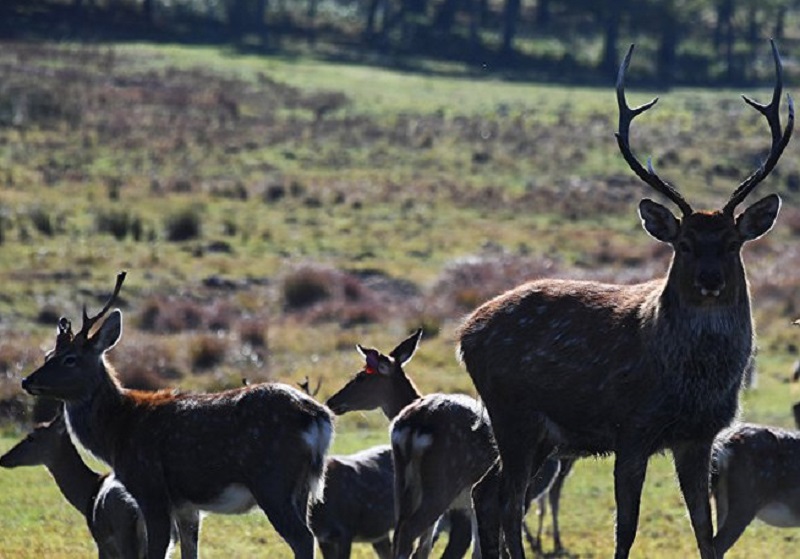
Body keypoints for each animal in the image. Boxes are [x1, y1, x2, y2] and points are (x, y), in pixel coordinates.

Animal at [21, 272, 334, 559]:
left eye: (70, 359)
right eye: (48, 355)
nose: (26, 381)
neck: (116, 434)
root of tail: (317, 417)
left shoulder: (151, 489)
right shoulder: (187, 507)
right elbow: (190, 551)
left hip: (271, 478)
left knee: (303, 538)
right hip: (303, 487)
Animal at [324, 330, 564, 556]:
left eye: (360, 377)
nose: (331, 401)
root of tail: (415, 426)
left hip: (403, 484)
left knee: (403, 533)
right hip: (443, 481)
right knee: (409, 532)